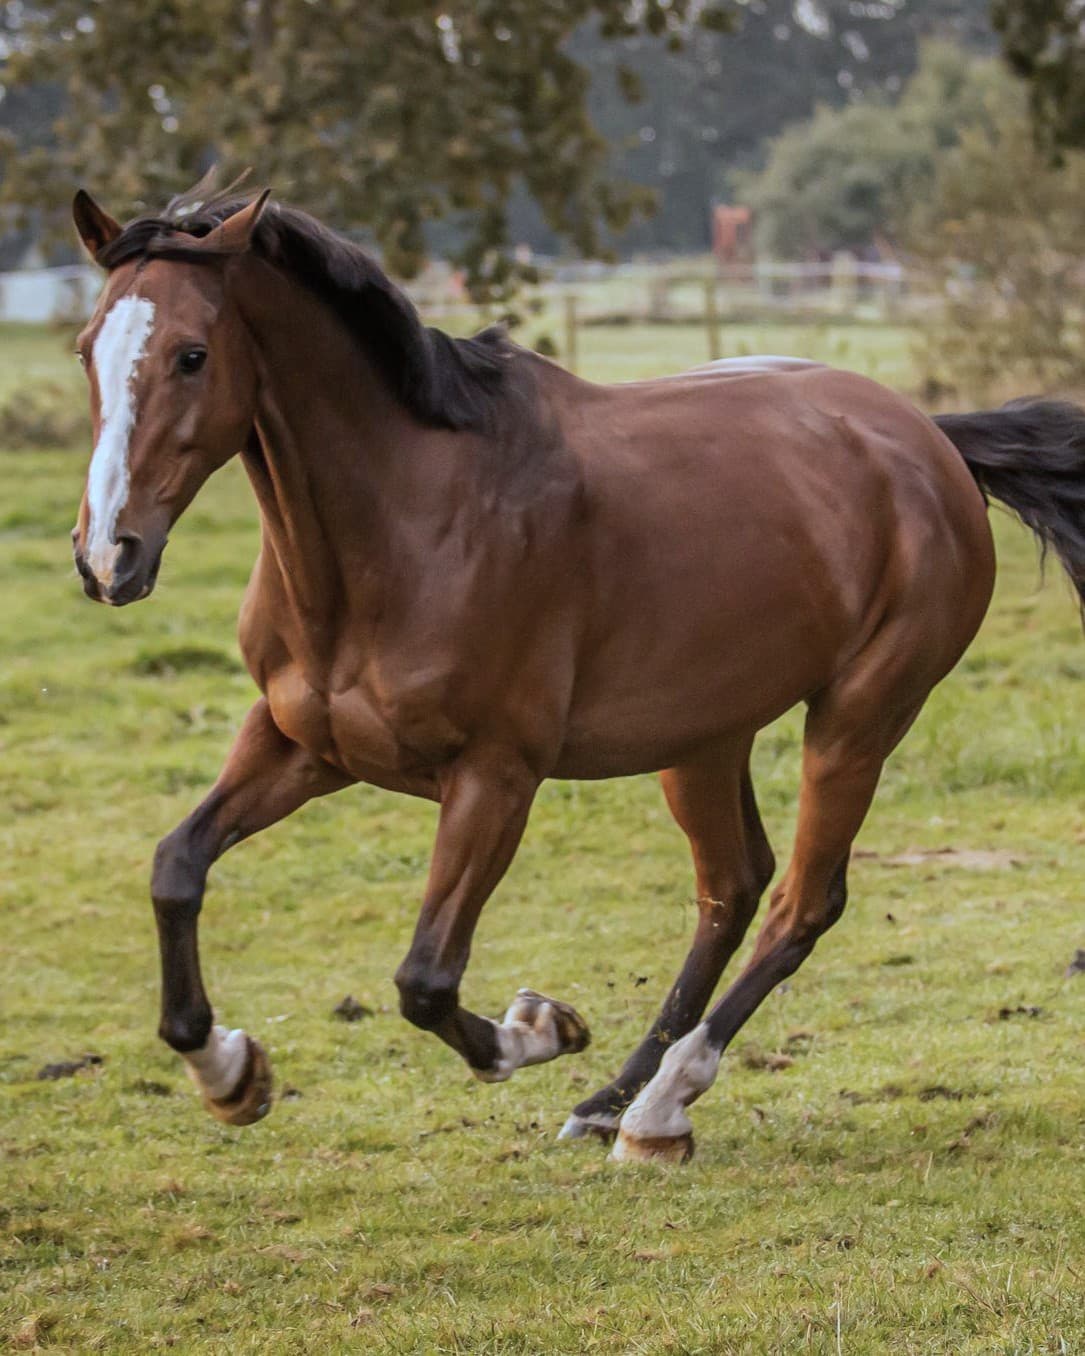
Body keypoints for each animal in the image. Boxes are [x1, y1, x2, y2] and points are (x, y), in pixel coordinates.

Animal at [68, 183, 1085, 1163]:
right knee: (731, 887)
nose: (109, 555)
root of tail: (926, 438)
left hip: (858, 719)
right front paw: (230, 1073)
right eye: (86, 350)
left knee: (799, 902)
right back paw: (609, 1105)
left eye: (192, 355)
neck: (408, 522)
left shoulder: (494, 776)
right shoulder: (298, 743)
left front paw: (538, 1028)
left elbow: (426, 980)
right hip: (702, 737)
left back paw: (659, 1107)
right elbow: (176, 867)